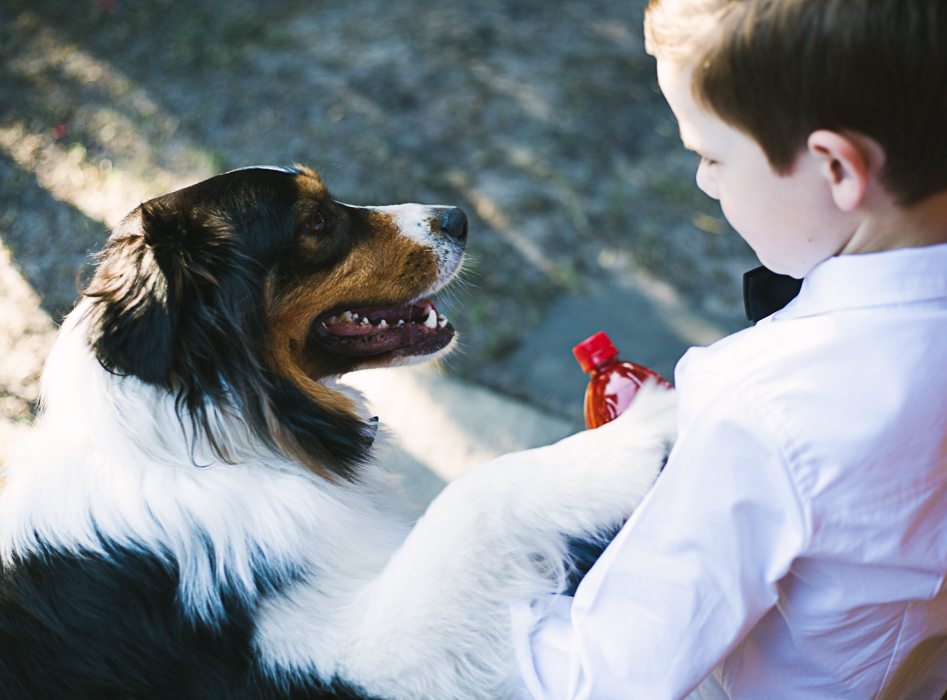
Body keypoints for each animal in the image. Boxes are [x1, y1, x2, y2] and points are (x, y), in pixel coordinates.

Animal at [0, 167, 672, 696]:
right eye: (317, 222)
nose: (458, 218)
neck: (205, 439)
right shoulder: (338, 658)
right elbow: (475, 494)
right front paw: (636, 431)